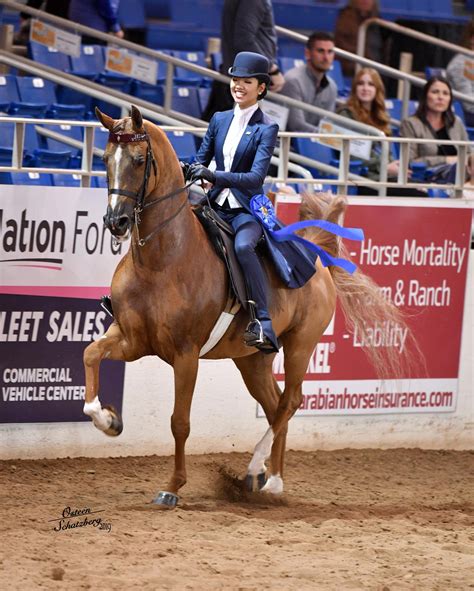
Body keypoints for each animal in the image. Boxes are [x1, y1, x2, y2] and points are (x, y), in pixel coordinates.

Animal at [83, 105, 412, 508]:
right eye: (104, 158)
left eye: (139, 159)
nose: (115, 221)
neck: (162, 259)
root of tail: (317, 260)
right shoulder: (132, 339)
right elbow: (90, 355)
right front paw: (108, 420)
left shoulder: (185, 354)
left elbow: (180, 421)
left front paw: (172, 487)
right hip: (252, 360)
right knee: (275, 405)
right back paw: (269, 479)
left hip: (301, 346)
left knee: (290, 402)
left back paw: (262, 473)